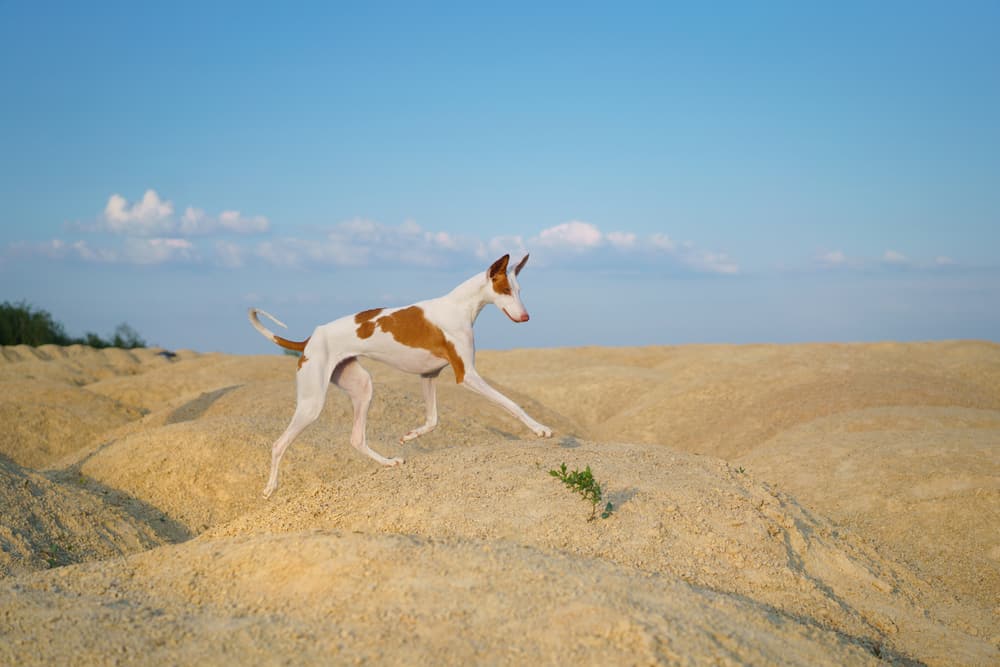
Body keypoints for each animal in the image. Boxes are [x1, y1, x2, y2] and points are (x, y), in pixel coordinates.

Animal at [246, 253, 552, 498]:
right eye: (505, 290)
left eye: (519, 289)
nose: (526, 317)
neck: (458, 307)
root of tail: (309, 339)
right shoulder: (467, 375)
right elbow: (511, 403)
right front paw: (539, 429)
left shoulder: (428, 375)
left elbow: (432, 420)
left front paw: (410, 436)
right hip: (312, 403)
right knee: (278, 444)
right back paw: (270, 488)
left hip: (361, 386)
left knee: (357, 439)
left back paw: (388, 462)